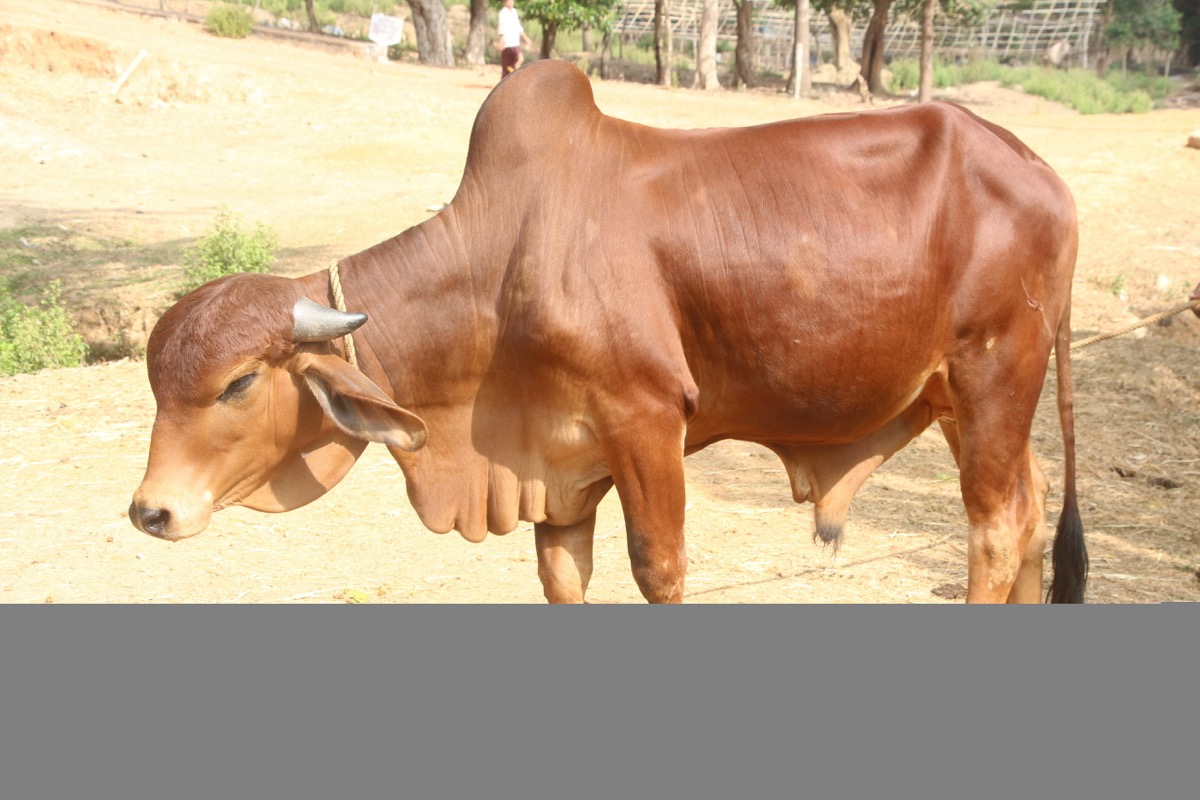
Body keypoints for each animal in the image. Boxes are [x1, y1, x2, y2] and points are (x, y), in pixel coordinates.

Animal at [129, 60, 1087, 603]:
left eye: (237, 383)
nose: (150, 510)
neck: (500, 270)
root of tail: (1040, 170)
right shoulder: (557, 467)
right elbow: (562, 578)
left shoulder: (647, 422)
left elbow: (660, 571)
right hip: (961, 397)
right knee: (1032, 507)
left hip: (997, 373)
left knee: (997, 528)